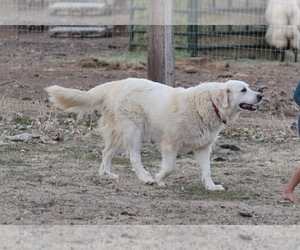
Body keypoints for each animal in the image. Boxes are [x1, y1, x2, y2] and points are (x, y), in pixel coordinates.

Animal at [45, 77, 262, 189]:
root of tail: (113, 84)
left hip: (119, 133)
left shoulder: (203, 148)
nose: (260, 95)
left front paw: (211, 186)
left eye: (249, 87)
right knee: (134, 158)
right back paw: (145, 178)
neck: (210, 104)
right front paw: (159, 179)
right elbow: (170, 167)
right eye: (243, 90)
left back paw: (106, 174)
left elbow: (207, 171)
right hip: (133, 131)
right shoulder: (170, 144)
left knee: (106, 153)